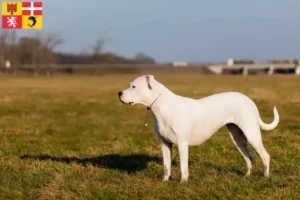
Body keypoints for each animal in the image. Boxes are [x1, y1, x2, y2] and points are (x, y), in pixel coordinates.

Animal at [118, 74, 278, 182]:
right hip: (237, 137)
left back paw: (265, 177)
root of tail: (249, 100)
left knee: (265, 156)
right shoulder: (164, 144)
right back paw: (247, 176)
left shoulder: (182, 144)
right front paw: (164, 181)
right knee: (249, 157)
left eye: (133, 87)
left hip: (252, 134)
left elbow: (183, 166)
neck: (162, 106)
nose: (119, 93)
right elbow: (166, 165)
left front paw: (183, 182)